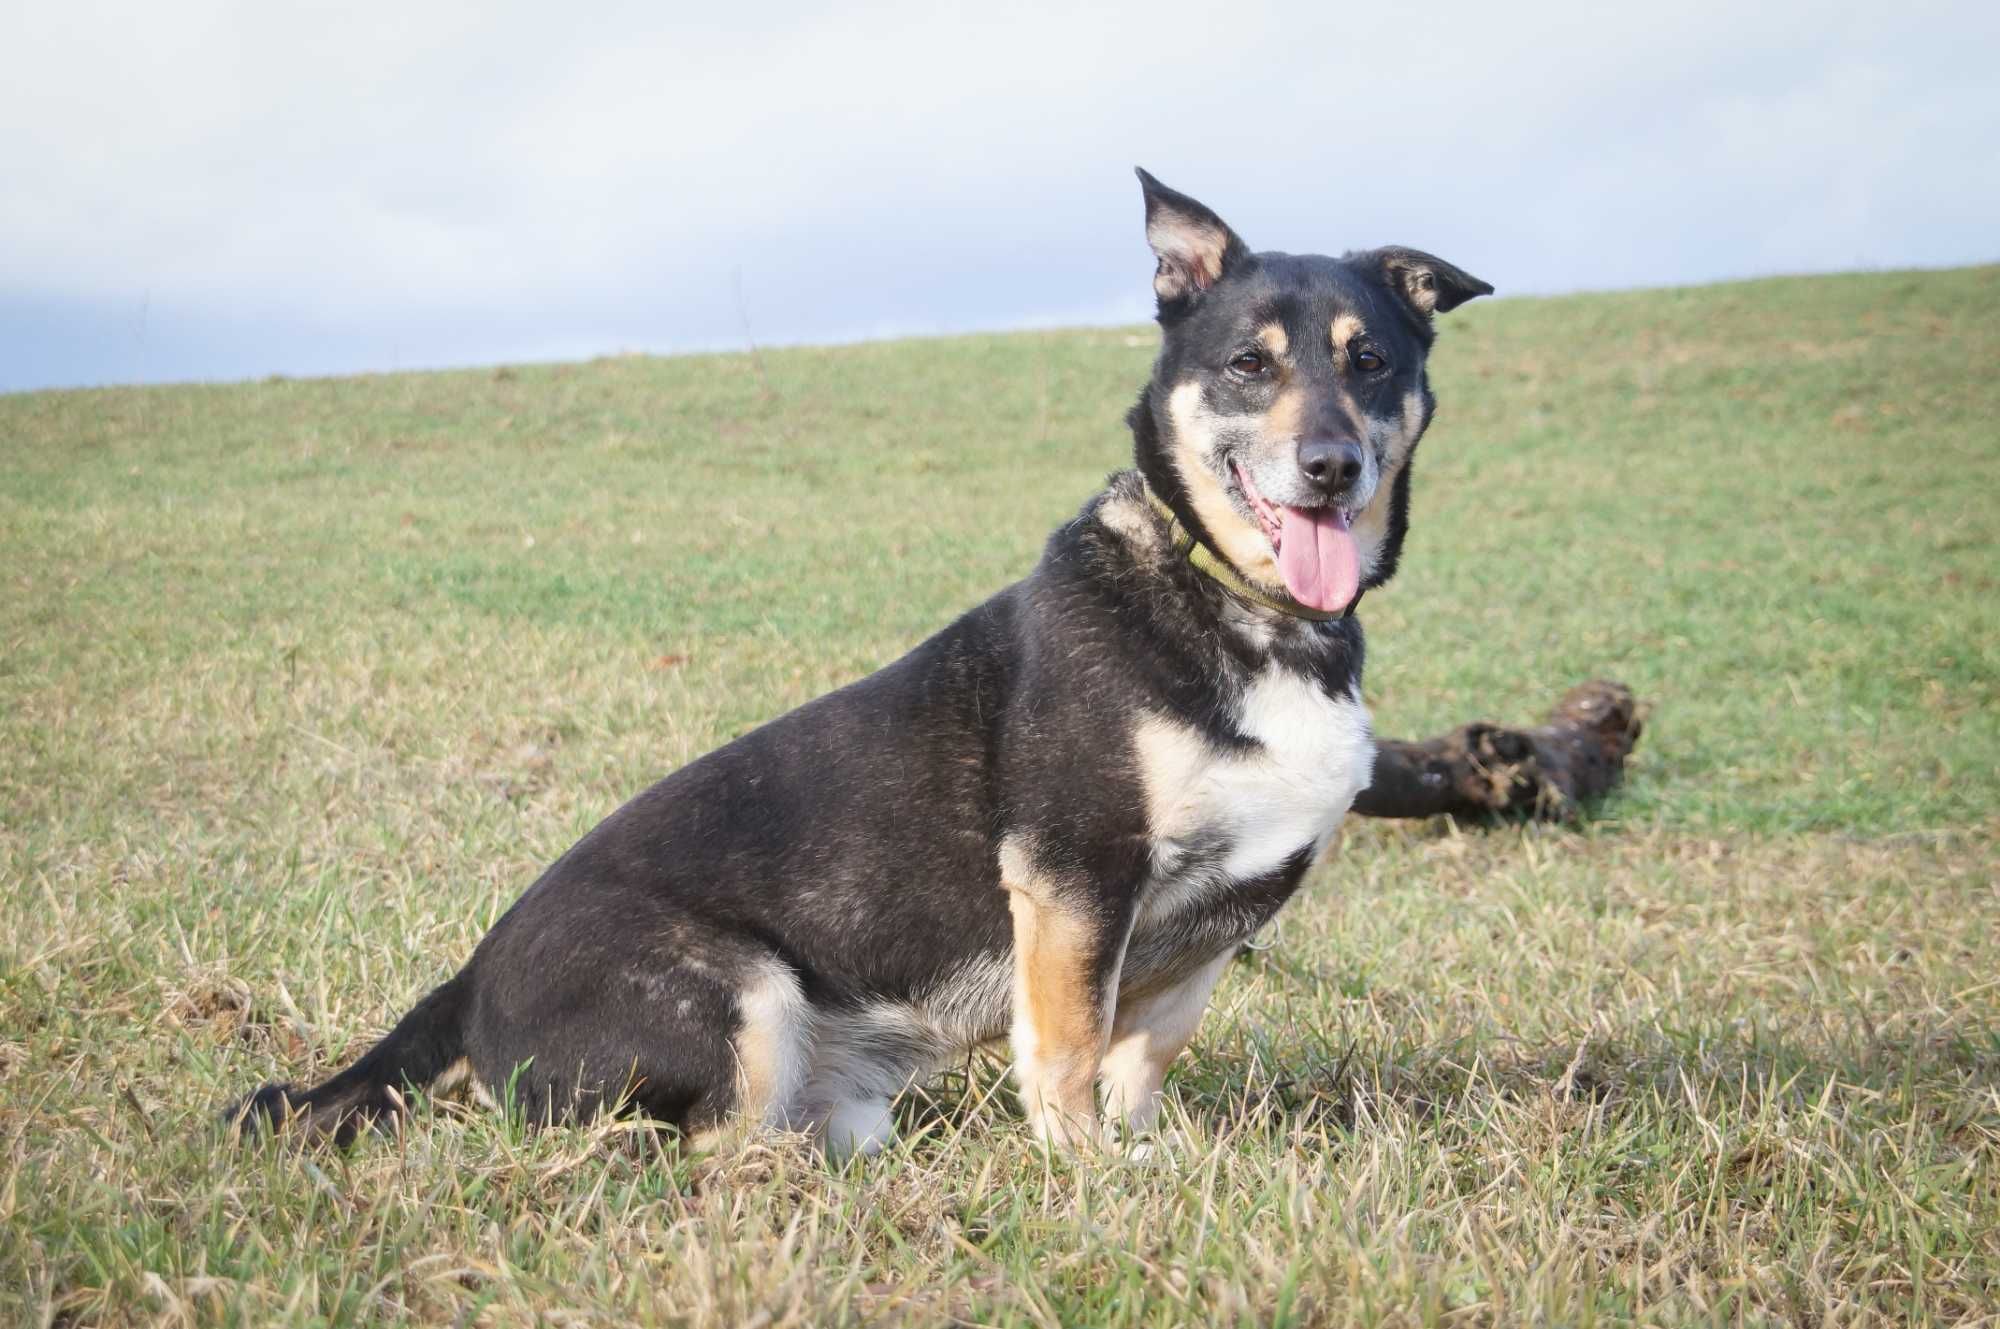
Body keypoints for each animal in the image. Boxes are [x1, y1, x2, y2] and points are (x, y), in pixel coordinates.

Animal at [230, 174, 1488, 1152]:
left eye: (1369, 361)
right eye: (1244, 365)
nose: (1328, 468)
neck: (1237, 603)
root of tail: (466, 984)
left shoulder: (1219, 920)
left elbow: (1141, 1051)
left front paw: (1143, 1160)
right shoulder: (1074, 876)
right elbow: (1070, 1047)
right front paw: (1081, 1171)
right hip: (743, 997)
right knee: (695, 1148)